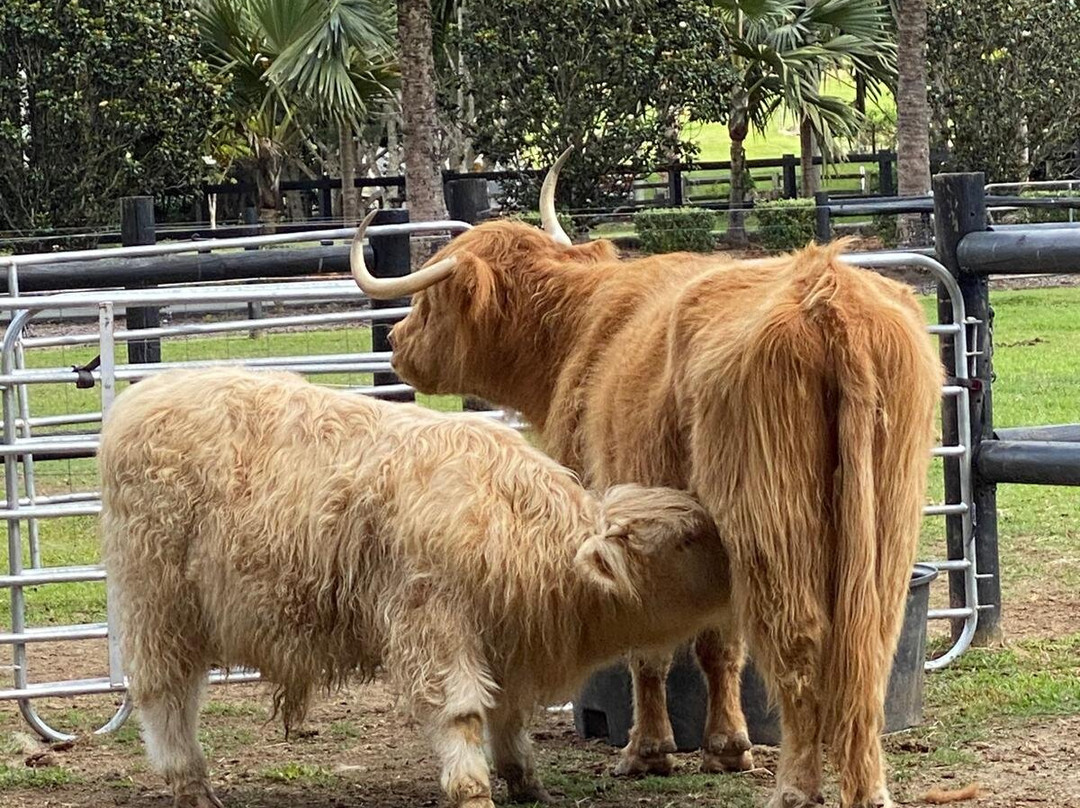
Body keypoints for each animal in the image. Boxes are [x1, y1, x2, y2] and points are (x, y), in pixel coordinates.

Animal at [100, 367, 734, 808]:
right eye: (686, 539)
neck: (517, 530)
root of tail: (144, 396)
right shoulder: (435, 626)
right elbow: (462, 714)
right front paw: (473, 790)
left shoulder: (506, 649)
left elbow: (509, 718)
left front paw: (526, 781)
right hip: (159, 606)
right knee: (165, 694)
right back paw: (191, 784)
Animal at [348, 152, 943, 808]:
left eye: (429, 301)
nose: (396, 342)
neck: (582, 334)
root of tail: (828, 290)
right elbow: (718, 644)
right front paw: (726, 747)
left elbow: (651, 645)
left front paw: (648, 751)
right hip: (885, 515)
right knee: (867, 644)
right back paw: (867, 787)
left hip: (771, 519)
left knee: (800, 640)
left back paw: (793, 787)